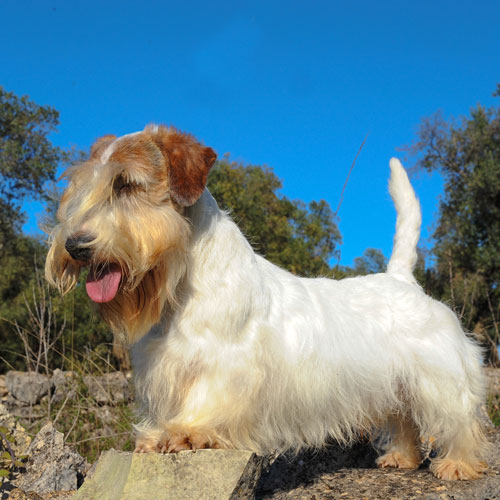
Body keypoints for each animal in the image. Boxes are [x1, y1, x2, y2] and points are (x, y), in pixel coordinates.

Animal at [45, 124, 486, 480]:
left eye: (126, 184)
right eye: (82, 186)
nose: (74, 246)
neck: (182, 283)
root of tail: (400, 277)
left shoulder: (225, 364)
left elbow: (205, 398)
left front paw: (186, 432)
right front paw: (155, 436)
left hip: (438, 378)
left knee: (459, 418)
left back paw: (458, 464)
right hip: (396, 383)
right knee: (405, 421)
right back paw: (402, 458)